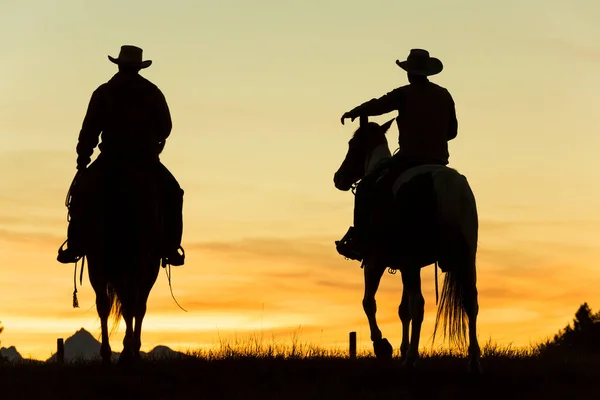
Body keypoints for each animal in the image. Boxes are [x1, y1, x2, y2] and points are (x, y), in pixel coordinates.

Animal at [332, 120, 482, 374]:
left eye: (352, 143)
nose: (338, 177)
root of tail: (445, 184)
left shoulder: (377, 261)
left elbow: (369, 303)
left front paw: (383, 346)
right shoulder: (406, 265)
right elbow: (403, 311)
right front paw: (401, 348)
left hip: (411, 262)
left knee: (419, 305)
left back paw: (411, 358)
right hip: (465, 259)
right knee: (470, 302)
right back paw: (473, 360)